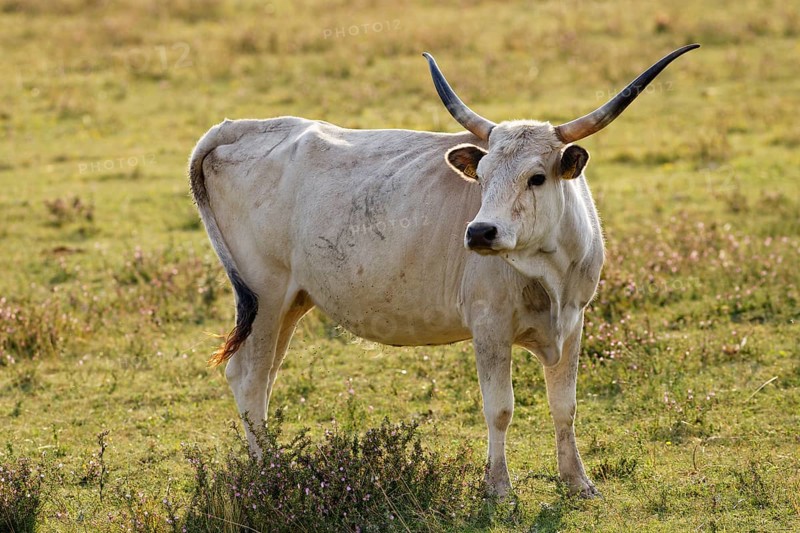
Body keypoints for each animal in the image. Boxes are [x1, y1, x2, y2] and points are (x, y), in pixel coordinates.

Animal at [189, 44, 699, 497]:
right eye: (483, 176)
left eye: (537, 177)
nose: (480, 231)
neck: (548, 273)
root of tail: (240, 127)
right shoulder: (489, 326)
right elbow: (500, 409)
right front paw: (499, 488)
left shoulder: (574, 322)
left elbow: (565, 406)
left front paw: (578, 482)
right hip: (266, 295)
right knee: (249, 378)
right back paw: (269, 473)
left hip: (290, 303)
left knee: (263, 377)